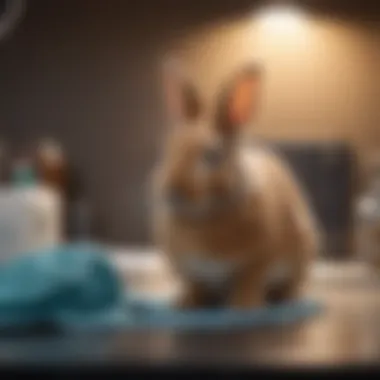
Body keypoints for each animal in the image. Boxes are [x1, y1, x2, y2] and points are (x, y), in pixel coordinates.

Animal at [150, 58, 322, 308]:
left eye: (211, 155)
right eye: (169, 147)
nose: (171, 191)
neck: (205, 216)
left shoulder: (258, 261)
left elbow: (247, 284)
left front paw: (243, 306)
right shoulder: (191, 271)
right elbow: (194, 286)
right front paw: (185, 304)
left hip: (301, 254)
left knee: (291, 285)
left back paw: (285, 300)